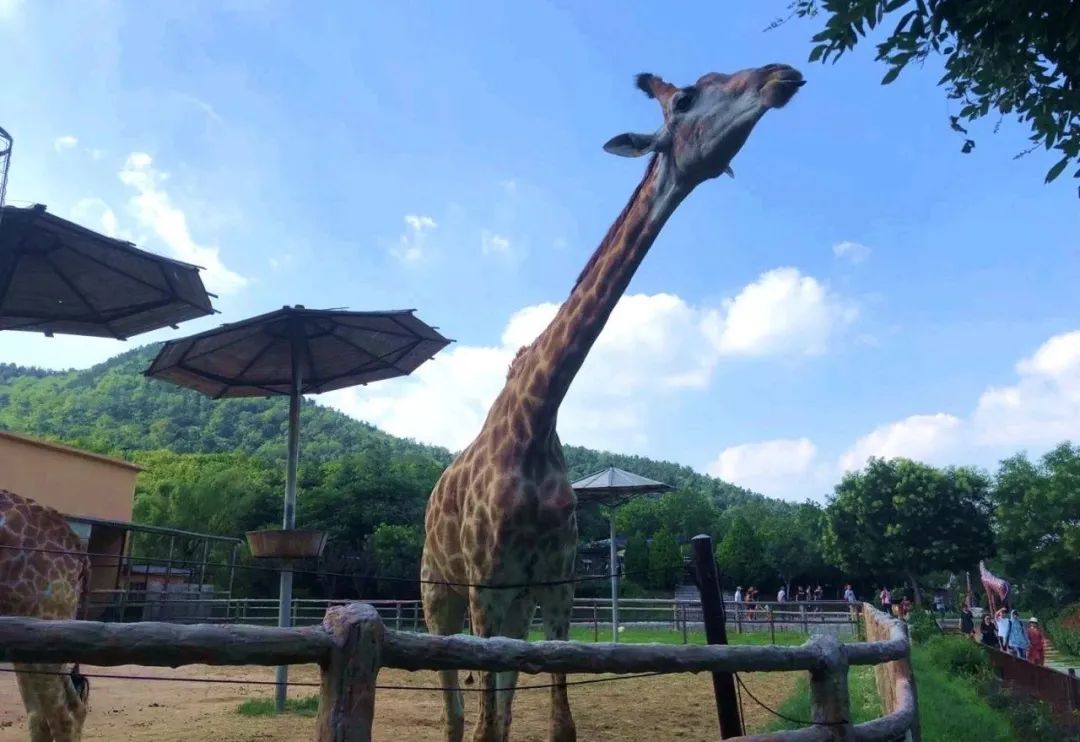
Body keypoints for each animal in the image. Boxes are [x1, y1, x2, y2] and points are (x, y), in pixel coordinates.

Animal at [421, 62, 805, 742]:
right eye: (686, 98)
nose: (779, 74)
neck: (536, 415)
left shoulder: (555, 589)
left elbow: (556, 723)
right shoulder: (487, 587)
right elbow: (486, 722)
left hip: (511, 608)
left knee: (495, 707)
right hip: (438, 594)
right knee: (457, 712)